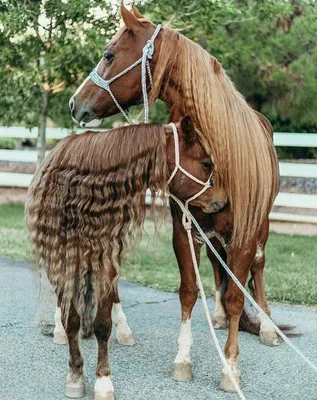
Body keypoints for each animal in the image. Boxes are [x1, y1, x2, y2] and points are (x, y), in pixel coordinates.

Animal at [25, 115, 226, 400]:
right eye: (206, 163)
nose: (222, 202)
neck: (81, 188)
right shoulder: (59, 257)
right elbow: (70, 319)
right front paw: (75, 375)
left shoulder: (106, 255)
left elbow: (103, 324)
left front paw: (102, 381)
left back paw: (123, 330)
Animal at [68, 3, 278, 390]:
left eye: (109, 54)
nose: (76, 104)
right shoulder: (184, 228)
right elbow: (189, 291)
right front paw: (183, 360)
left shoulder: (243, 235)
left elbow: (237, 294)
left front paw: (231, 367)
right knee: (216, 265)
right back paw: (219, 317)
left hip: (262, 227)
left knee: (257, 268)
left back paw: (268, 326)